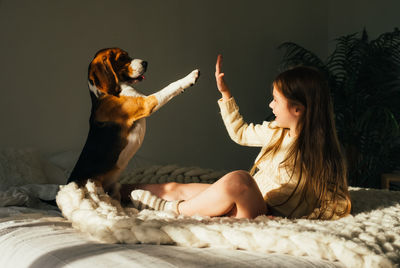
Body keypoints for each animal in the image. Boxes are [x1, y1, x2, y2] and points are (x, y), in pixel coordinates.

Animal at [69, 47, 202, 200]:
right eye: (122, 58)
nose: (146, 63)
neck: (106, 93)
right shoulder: (147, 103)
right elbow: (170, 86)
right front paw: (189, 78)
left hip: (116, 187)